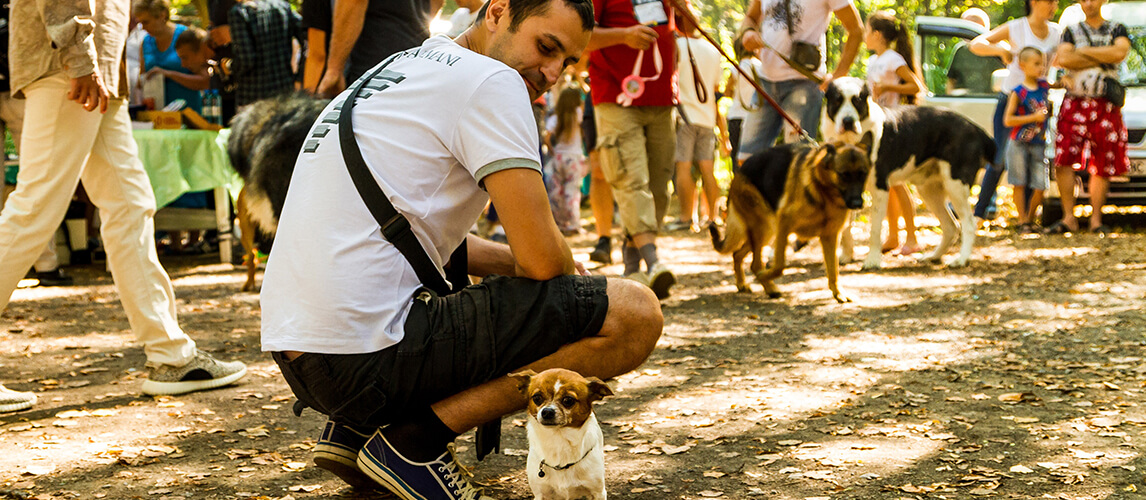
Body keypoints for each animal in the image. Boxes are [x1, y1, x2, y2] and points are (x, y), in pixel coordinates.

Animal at [705, 134, 866, 302]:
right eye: (844, 175)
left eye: (863, 175)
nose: (857, 203)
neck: (824, 192)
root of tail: (739, 171)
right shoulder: (784, 224)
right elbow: (780, 265)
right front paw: (764, 276)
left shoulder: (830, 236)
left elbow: (833, 269)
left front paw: (838, 293)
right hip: (766, 228)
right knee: (755, 264)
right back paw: (768, 286)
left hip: (766, 233)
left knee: (737, 254)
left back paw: (743, 284)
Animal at [825, 76, 994, 269]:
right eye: (837, 100)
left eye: (858, 100)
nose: (848, 121)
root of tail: (975, 128)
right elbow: (845, 227)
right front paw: (846, 255)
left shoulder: (880, 189)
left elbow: (875, 229)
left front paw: (872, 260)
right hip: (929, 190)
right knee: (951, 226)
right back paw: (934, 256)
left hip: (956, 186)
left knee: (969, 224)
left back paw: (961, 259)